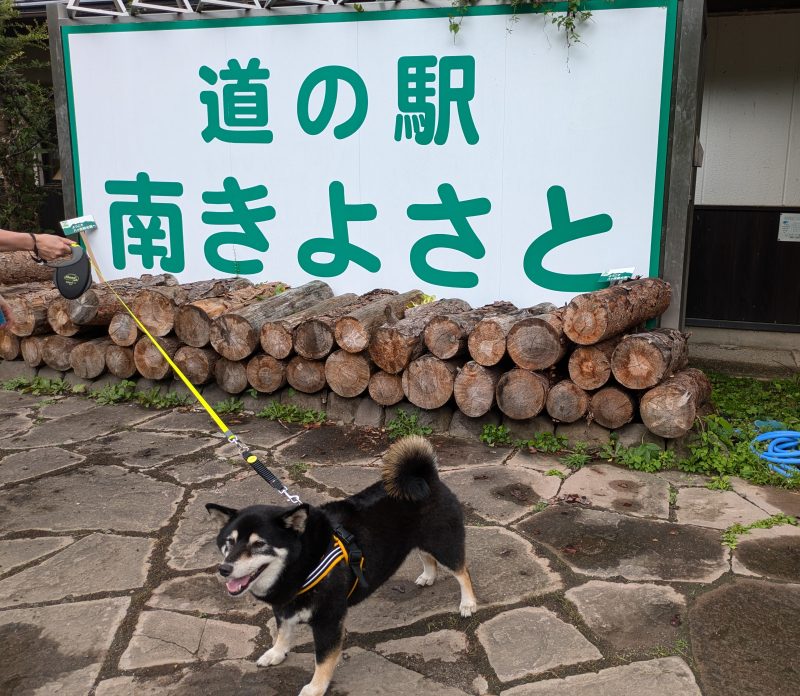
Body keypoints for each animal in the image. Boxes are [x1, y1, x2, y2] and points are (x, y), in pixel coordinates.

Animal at [209, 436, 478, 696]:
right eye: (229, 542)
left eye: (259, 544)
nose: (225, 569)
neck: (307, 560)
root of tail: (426, 476)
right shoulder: (284, 606)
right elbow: (283, 632)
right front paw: (276, 652)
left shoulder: (328, 621)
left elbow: (323, 659)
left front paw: (315, 688)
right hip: (419, 539)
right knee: (426, 556)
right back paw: (428, 576)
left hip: (443, 543)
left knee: (462, 571)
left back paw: (467, 603)